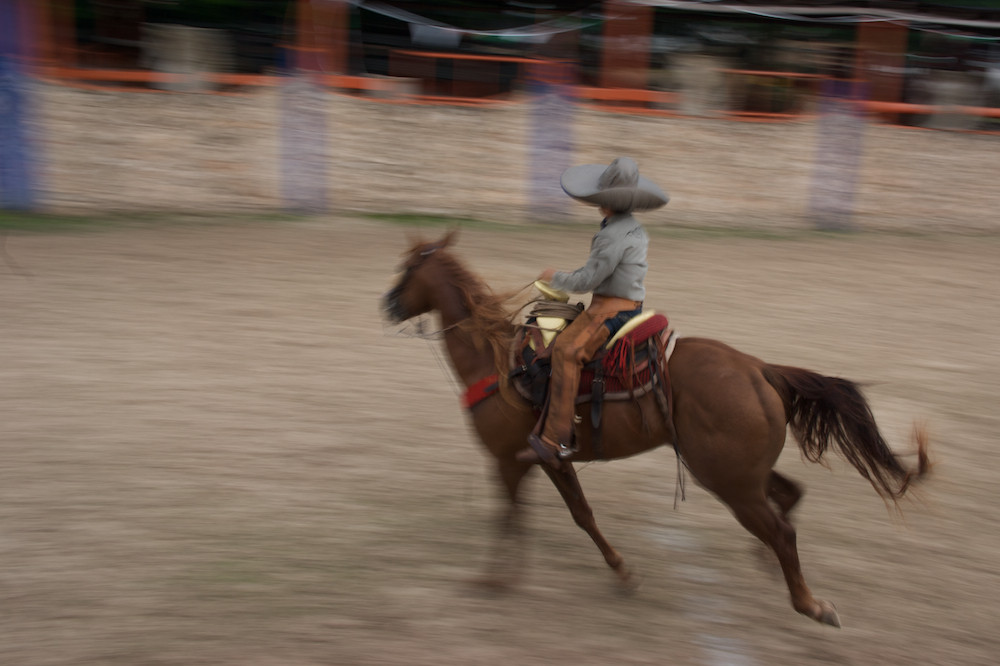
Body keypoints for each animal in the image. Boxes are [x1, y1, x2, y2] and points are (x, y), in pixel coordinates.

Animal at [382, 231, 928, 624]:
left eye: (408, 269)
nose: (387, 305)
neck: (496, 363)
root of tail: (758, 369)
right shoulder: (552, 459)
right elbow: (582, 515)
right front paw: (623, 572)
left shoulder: (507, 461)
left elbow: (510, 517)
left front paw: (494, 580)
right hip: (739, 473)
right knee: (789, 499)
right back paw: (768, 565)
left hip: (728, 480)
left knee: (782, 529)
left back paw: (812, 605)